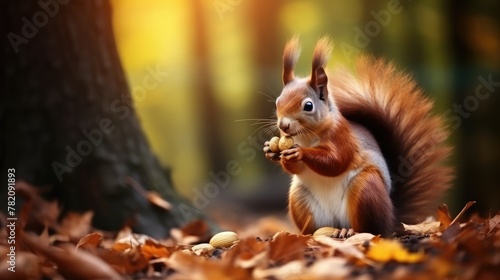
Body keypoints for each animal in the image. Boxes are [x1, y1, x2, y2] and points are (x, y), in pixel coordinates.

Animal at [264, 36, 456, 235]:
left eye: (308, 106)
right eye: (278, 102)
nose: (283, 125)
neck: (306, 136)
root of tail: (391, 218)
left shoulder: (342, 137)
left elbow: (336, 161)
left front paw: (300, 152)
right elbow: (297, 169)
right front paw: (270, 151)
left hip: (366, 189)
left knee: (371, 229)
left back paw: (351, 232)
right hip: (301, 199)